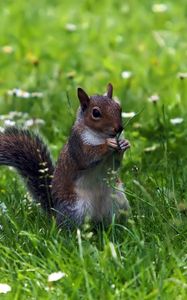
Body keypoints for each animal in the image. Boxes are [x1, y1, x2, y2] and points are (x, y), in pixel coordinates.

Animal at [0, 83, 130, 229]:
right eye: (96, 113)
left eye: (119, 107)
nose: (119, 128)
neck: (100, 136)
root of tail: (55, 213)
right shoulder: (77, 144)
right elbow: (87, 157)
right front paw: (108, 145)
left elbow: (115, 164)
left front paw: (124, 144)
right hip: (75, 208)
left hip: (118, 200)